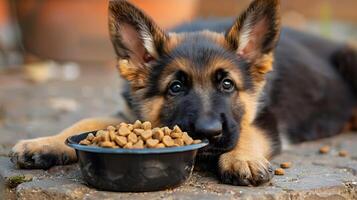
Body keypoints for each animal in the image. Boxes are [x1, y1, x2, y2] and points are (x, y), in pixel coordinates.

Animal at [9, 0, 356, 186]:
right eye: (175, 88)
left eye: (227, 85)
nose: (209, 132)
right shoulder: (133, 114)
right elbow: (87, 121)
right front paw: (44, 143)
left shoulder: (265, 120)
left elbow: (246, 132)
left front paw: (241, 159)